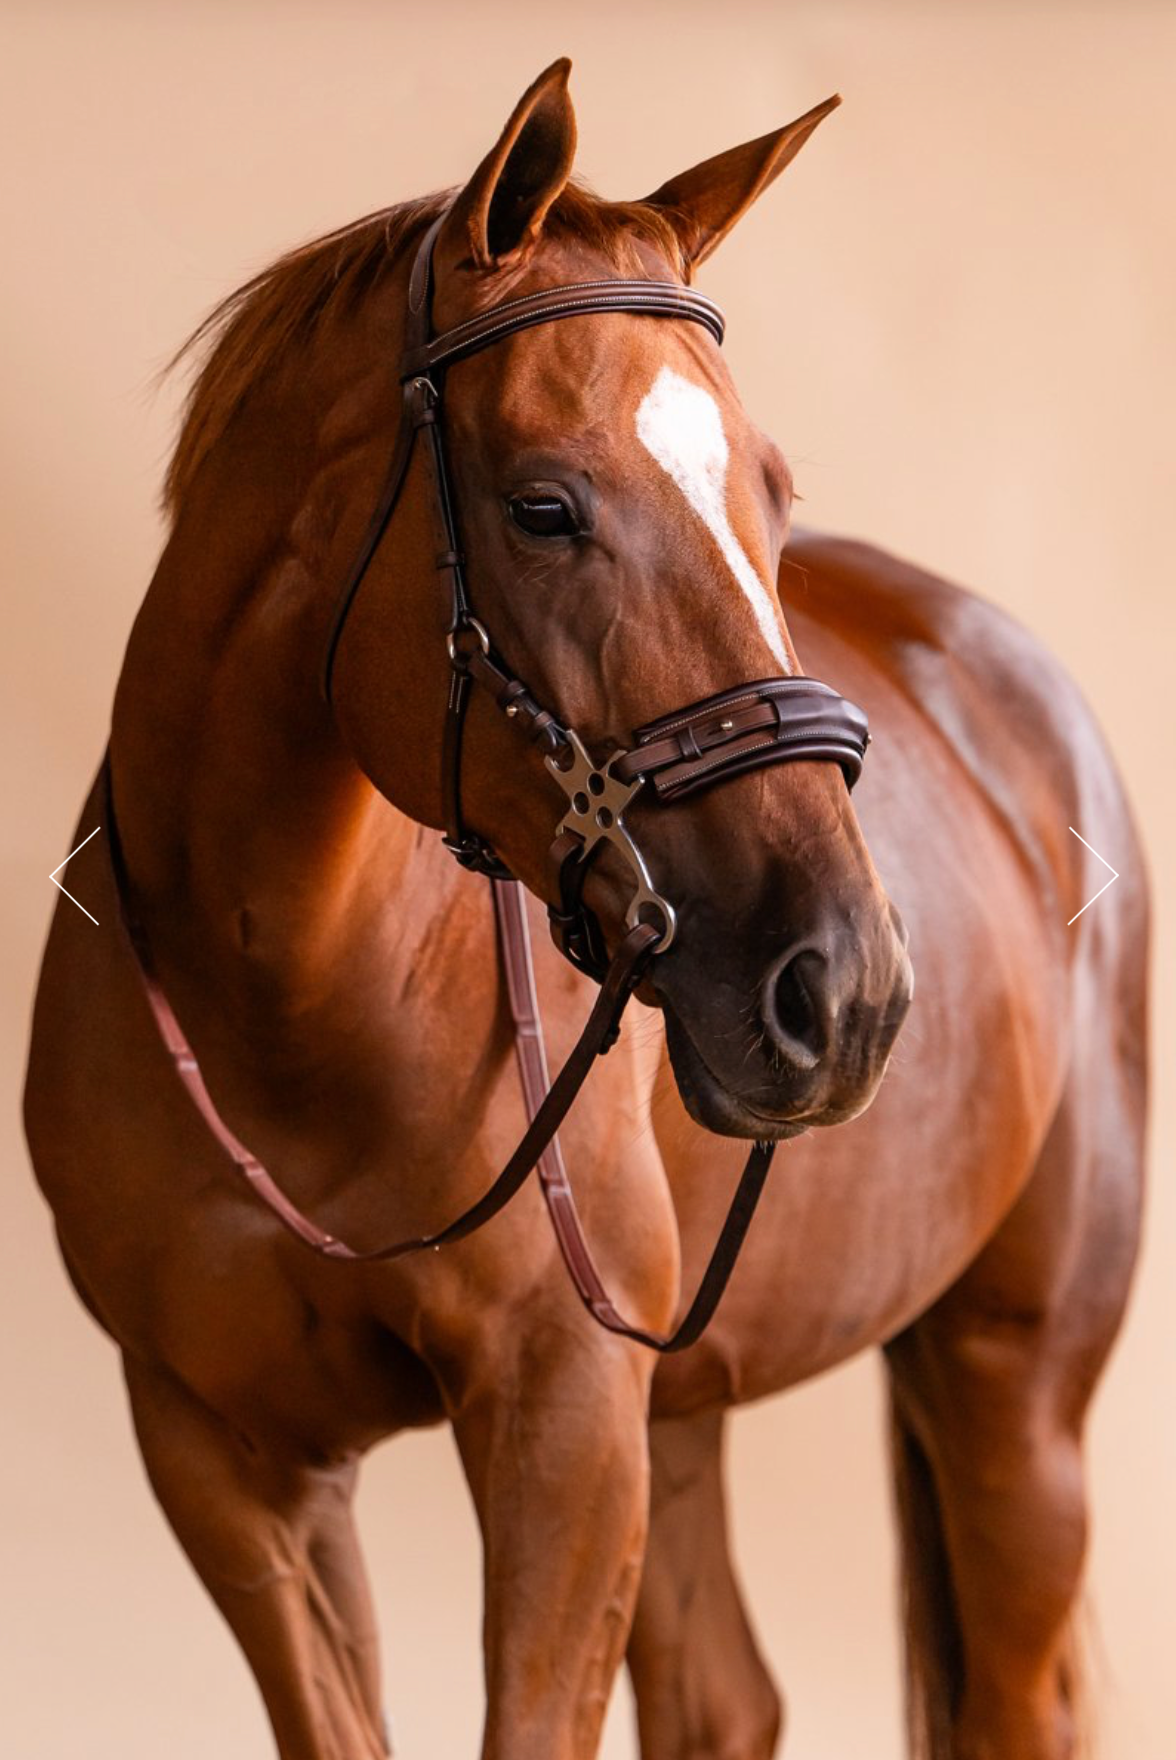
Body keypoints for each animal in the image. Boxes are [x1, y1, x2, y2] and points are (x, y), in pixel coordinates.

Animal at [25, 55, 1147, 1760]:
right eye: (545, 509)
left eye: (773, 495)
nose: (846, 990)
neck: (284, 994)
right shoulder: (225, 1456)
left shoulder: (559, 1421)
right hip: (686, 1397)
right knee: (725, 1696)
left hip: (1013, 1385)